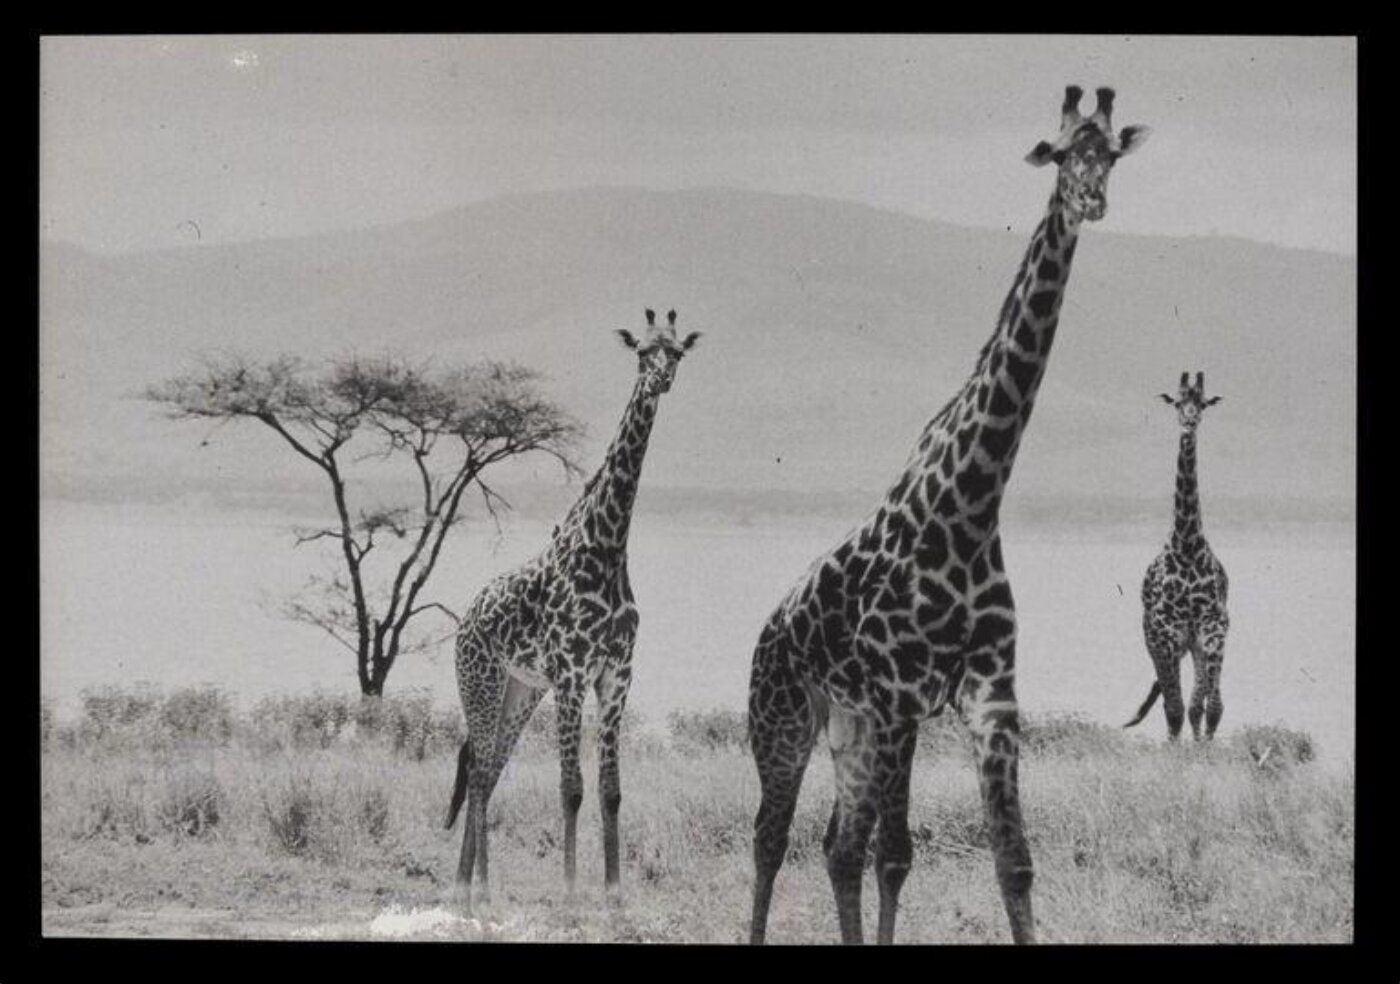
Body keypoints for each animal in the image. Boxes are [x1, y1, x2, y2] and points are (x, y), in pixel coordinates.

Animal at [445, 308, 700, 910]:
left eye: (677, 352)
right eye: (642, 352)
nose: (660, 381)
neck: (606, 547)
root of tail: (466, 616)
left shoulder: (616, 674)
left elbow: (610, 790)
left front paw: (613, 892)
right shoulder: (571, 673)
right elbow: (571, 788)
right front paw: (567, 890)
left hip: (520, 691)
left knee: (488, 770)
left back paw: (469, 886)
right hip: (482, 681)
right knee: (481, 772)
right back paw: (479, 890)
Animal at [745, 85, 1150, 946]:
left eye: (1111, 155)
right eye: (1060, 155)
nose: (1093, 201)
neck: (969, 506)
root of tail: (771, 624)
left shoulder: (990, 695)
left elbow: (1012, 864)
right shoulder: (901, 694)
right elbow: (894, 854)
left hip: (851, 730)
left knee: (833, 846)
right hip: (785, 719)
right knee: (773, 837)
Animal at [1125, 371, 1229, 741]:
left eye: (1203, 404)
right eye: (1177, 402)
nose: (1189, 422)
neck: (1187, 544)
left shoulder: (1212, 630)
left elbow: (1209, 707)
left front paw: (1203, 747)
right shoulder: (1166, 634)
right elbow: (1175, 709)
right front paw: (1176, 749)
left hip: (1194, 644)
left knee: (1201, 702)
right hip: (1154, 640)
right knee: (1173, 702)